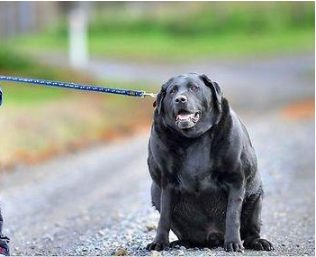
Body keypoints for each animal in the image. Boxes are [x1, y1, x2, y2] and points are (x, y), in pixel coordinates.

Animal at [146, 73, 272, 251]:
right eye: (172, 91)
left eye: (194, 88)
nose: (180, 99)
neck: (194, 138)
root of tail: (211, 238)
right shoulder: (167, 182)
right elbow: (164, 217)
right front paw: (159, 242)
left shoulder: (237, 179)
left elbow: (232, 215)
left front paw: (233, 243)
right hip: (155, 194)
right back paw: (180, 243)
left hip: (256, 198)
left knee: (251, 232)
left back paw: (258, 242)